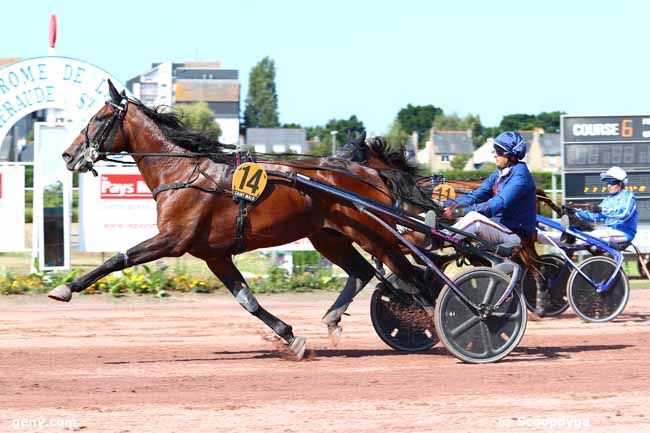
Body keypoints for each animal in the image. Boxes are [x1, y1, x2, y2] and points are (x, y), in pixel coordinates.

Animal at [52, 82, 426, 358]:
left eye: (100, 118)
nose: (68, 155)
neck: (183, 172)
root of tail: (371, 172)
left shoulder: (173, 240)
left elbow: (117, 259)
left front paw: (65, 288)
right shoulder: (214, 254)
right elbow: (248, 301)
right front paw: (292, 338)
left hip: (375, 233)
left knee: (412, 279)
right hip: (329, 236)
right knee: (365, 272)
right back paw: (334, 318)